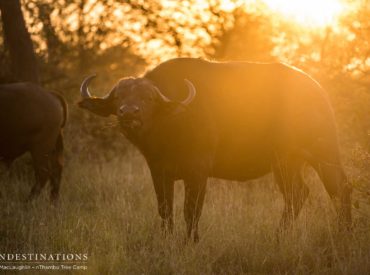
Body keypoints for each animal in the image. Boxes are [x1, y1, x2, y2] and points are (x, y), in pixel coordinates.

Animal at [79, 57, 352, 242]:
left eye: (148, 98)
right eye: (118, 98)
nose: (129, 113)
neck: (171, 126)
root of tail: (318, 91)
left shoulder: (198, 172)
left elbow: (191, 211)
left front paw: (191, 242)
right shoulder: (159, 172)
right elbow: (165, 211)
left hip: (323, 152)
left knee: (340, 188)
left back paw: (344, 233)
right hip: (285, 163)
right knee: (297, 194)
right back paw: (279, 236)